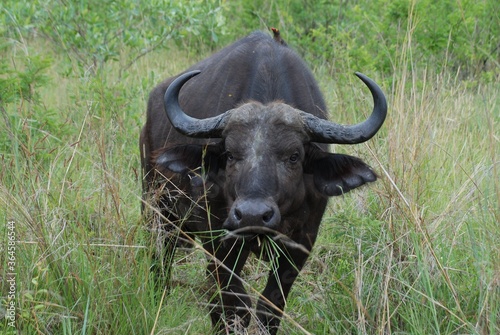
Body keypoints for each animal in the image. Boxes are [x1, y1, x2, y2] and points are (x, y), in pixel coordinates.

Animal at [141, 30, 386, 334]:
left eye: (294, 156)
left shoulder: (301, 243)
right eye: (230, 154)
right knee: (160, 259)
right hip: (157, 211)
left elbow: (270, 304)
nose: (252, 215)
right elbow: (233, 300)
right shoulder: (219, 239)